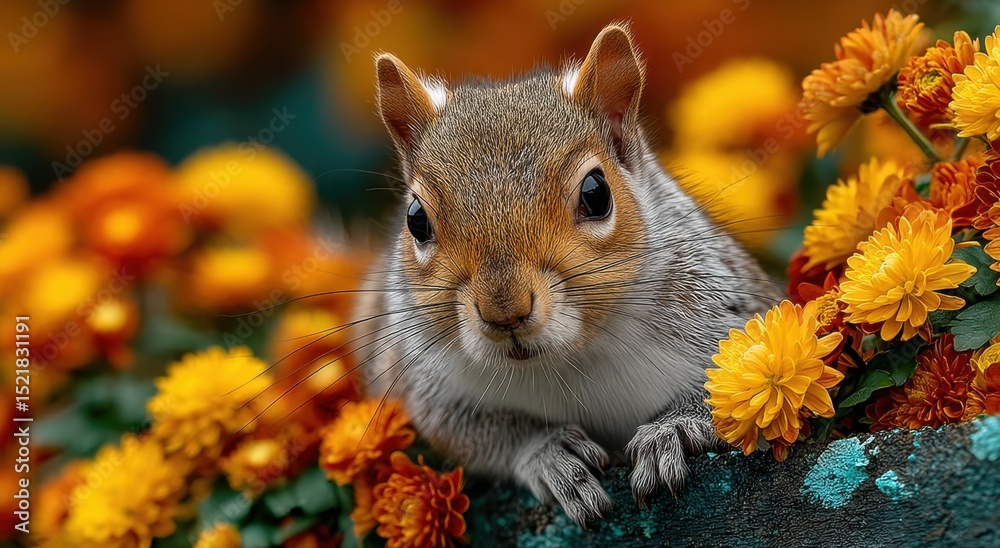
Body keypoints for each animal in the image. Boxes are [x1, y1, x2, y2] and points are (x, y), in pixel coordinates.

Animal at [356, 22, 781, 526]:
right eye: (416, 220)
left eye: (597, 194)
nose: (504, 312)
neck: (568, 359)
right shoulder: (427, 382)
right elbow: (474, 432)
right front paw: (550, 452)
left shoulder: (723, 306)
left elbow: (740, 390)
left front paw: (672, 430)